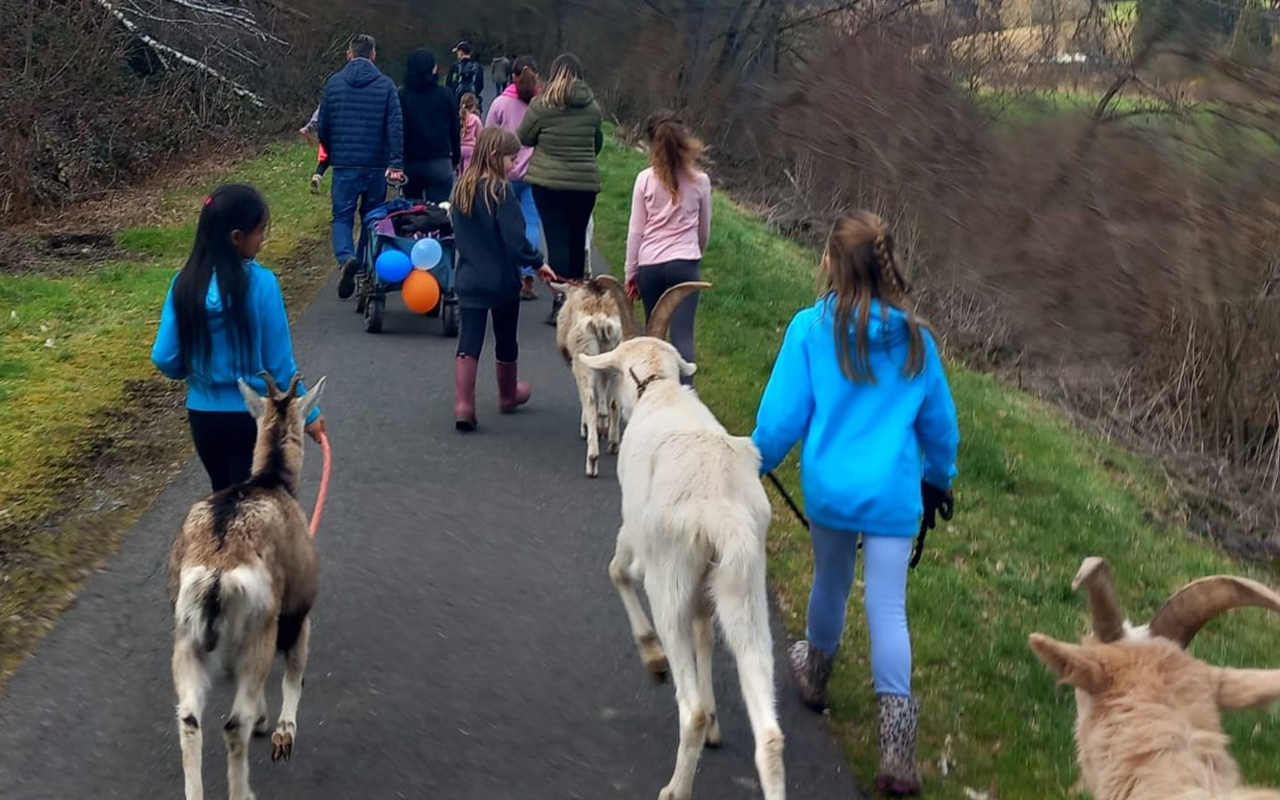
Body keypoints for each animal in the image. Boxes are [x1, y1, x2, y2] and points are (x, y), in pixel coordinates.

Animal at [167, 371, 327, 798]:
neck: (270, 482)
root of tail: (216, 578)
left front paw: (264, 719)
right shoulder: (298, 609)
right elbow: (294, 673)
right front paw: (281, 733)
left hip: (186, 640)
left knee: (189, 718)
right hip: (258, 631)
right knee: (232, 725)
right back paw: (243, 789)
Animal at [550, 271, 629, 476]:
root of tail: (601, 319)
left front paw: (586, 426)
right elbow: (603, 391)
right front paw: (603, 425)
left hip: (583, 356)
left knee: (590, 400)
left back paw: (592, 459)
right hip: (617, 352)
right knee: (614, 401)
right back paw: (614, 442)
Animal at [578, 280, 778, 798]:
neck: (662, 393)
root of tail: (721, 516)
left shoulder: (634, 532)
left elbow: (615, 571)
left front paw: (652, 659)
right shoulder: (707, 592)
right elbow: (705, 632)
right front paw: (718, 732)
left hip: (669, 580)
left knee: (692, 709)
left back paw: (676, 786)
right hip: (745, 590)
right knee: (769, 736)